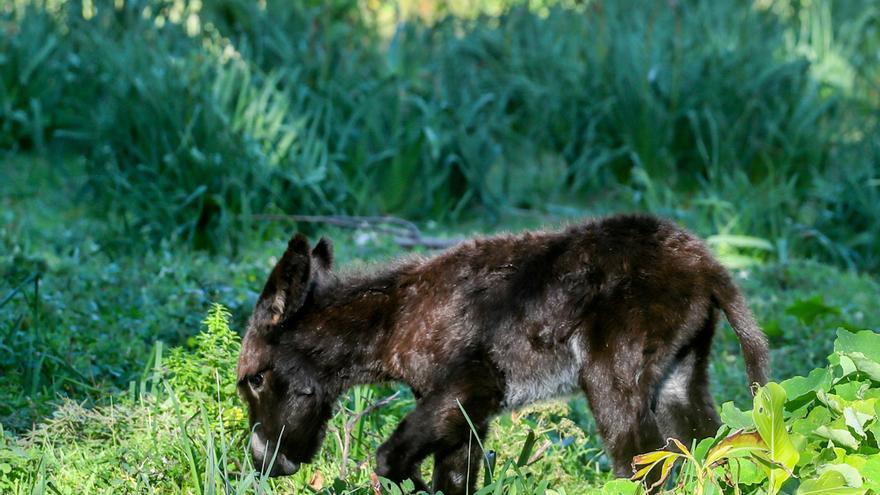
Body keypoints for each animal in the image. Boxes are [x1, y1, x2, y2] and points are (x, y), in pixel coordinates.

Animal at [237, 214, 768, 495]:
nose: (265, 461)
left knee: (645, 466)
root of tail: (708, 267)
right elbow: (454, 478)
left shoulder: (475, 384)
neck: (389, 326)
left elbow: (391, 459)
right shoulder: (468, 412)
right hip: (679, 379)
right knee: (713, 449)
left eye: (255, 379)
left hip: (611, 378)